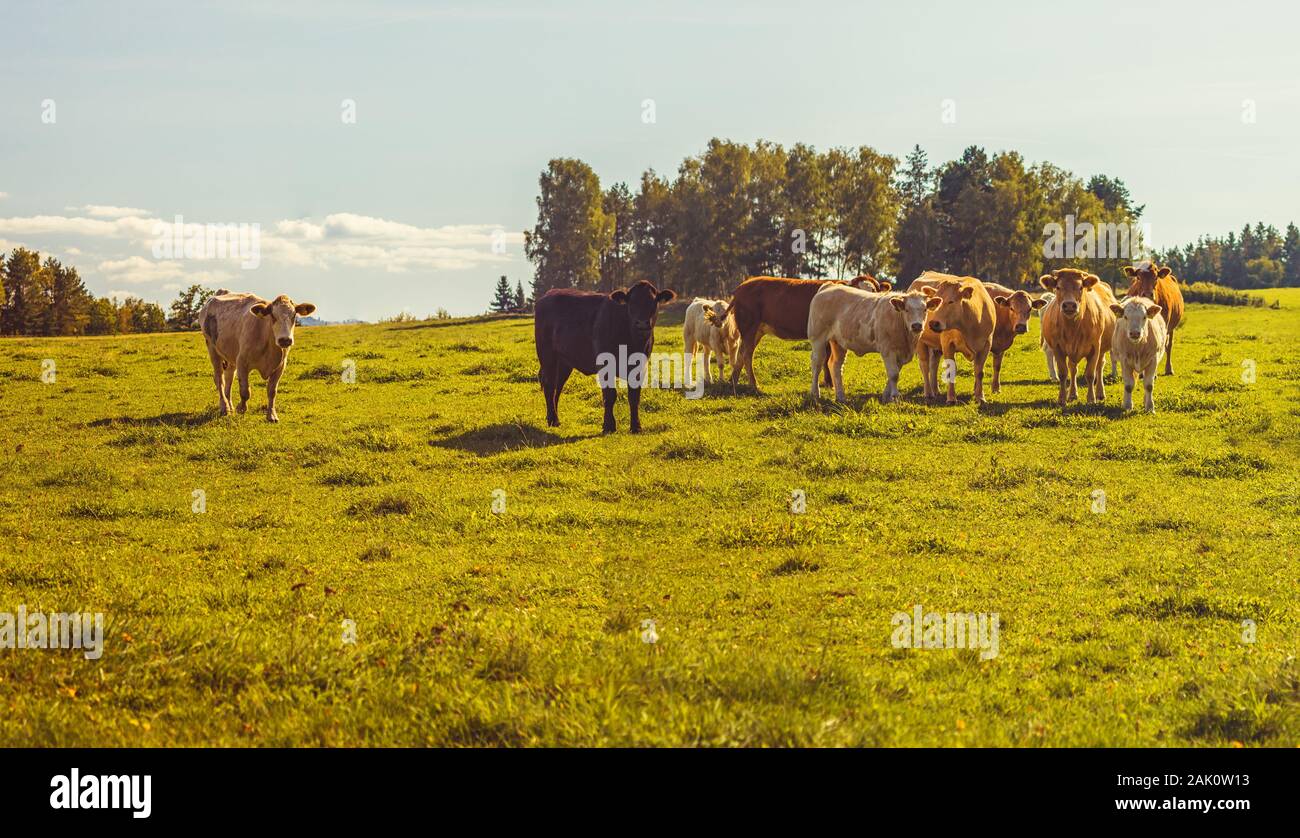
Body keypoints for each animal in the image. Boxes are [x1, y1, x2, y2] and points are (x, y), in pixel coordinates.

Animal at [198, 291, 318, 420]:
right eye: (273, 316)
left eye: (294, 316)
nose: (285, 340)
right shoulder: (242, 362)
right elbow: (245, 391)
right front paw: (241, 408)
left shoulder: (280, 366)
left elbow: (272, 391)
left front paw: (271, 414)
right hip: (212, 349)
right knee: (219, 380)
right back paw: (224, 407)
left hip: (230, 357)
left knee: (228, 378)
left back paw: (230, 406)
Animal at [533, 284, 676, 433]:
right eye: (631, 303)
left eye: (654, 302)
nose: (642, 324)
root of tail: (548, 294)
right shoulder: (606, 365)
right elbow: (610, 395)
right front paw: (609, 425)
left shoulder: (639, 368)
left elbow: (634, 397)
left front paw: (636, 426)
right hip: (547, 357)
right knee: (549, 385)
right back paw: (552, 419)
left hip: (564, 363)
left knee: (557, 387)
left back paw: (554, 417)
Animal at [702, 274, 894, 392]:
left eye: (874, 290)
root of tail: (743, 286)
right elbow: (826, 358)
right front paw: (829, 382)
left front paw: (828, 382)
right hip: (749, 326)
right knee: (747, 354)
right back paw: (754, 385)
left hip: (756, 330)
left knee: (743, 354)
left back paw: (734, 382)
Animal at [800, 284, 935, 402]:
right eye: (907, 310)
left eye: (925, 309)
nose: (916, 325)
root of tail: (829, 286)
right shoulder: (887, 350)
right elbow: (894, 374)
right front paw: (895, 396)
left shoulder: (902, 353)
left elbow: (894, 374)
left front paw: (886, 396)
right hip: (818, 339)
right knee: (817, 364)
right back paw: (815, 393)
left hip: (839, 343)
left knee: (836, 365)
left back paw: (840, 396)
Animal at [1034, 267, 1118, 405]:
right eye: (1058, 287)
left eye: (1080, 287)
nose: (1069, 305)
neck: (1072, 328)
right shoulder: (1058, 348)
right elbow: (1063, 373)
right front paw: (1062, 398)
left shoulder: (1095, 348)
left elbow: (1090, 374)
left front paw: (1091, 398)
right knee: (1073, 369)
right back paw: (1072, 394)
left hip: (1101, 350)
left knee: (1099, 367)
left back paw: (1100, 393)